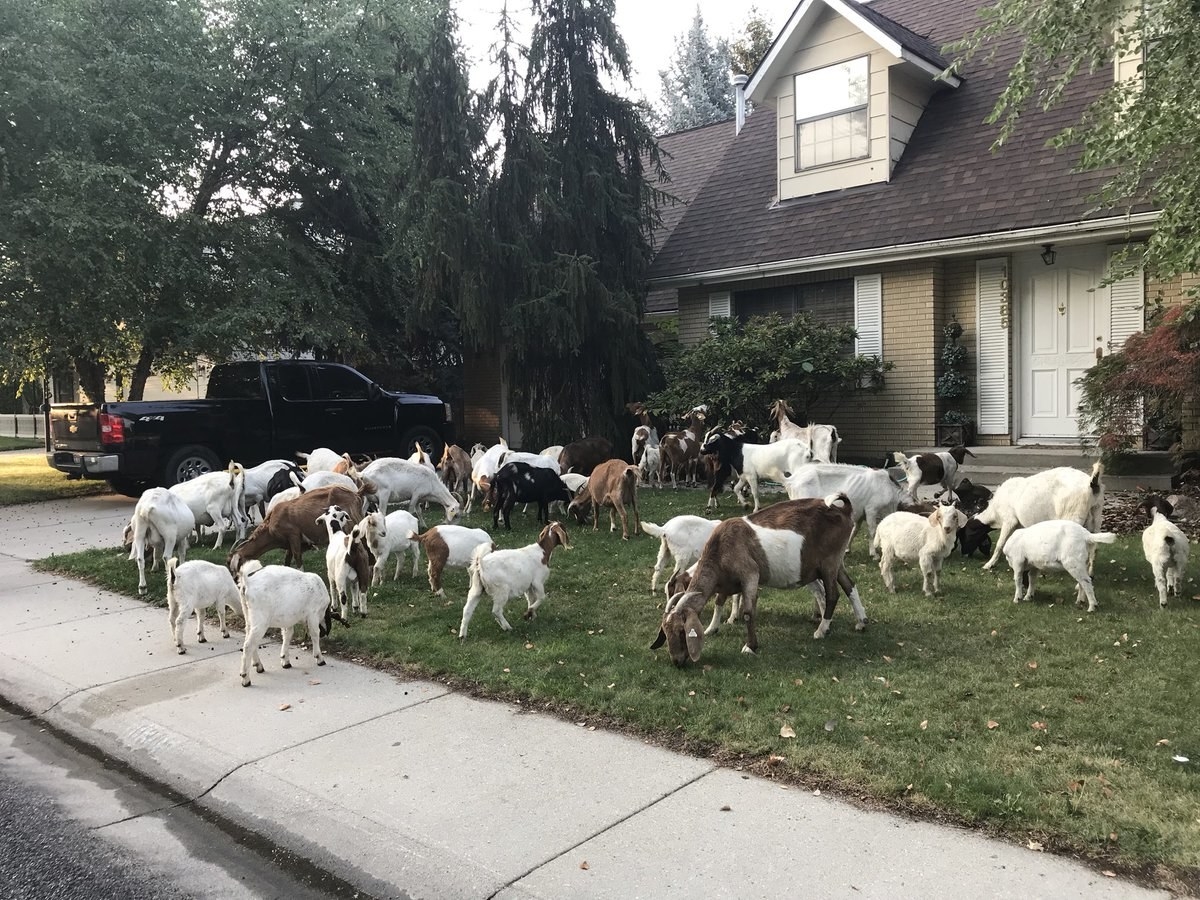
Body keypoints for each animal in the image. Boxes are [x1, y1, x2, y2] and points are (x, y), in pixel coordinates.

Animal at [648, 496, 864, 667]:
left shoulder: (750, 574)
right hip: (835, 563)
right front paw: (712, 628)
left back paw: (821, 630)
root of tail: (843, 510)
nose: (677, 661)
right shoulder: (726, 582)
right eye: (665, 632)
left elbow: (748, 612)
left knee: (833, 594)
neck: (721, 547)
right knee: (849, 585)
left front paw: (750, 646)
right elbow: (719, 602)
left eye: (681, 631)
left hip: (829, 563)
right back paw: (861, 622)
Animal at [974, 465, 1104, 571]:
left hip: (1072, 517)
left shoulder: (1009, 520)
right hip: (1096, 517)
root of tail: (1091, 484)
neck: (993, 511)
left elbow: (1000, 544)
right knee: (1094, 548)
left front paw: (989, 564)